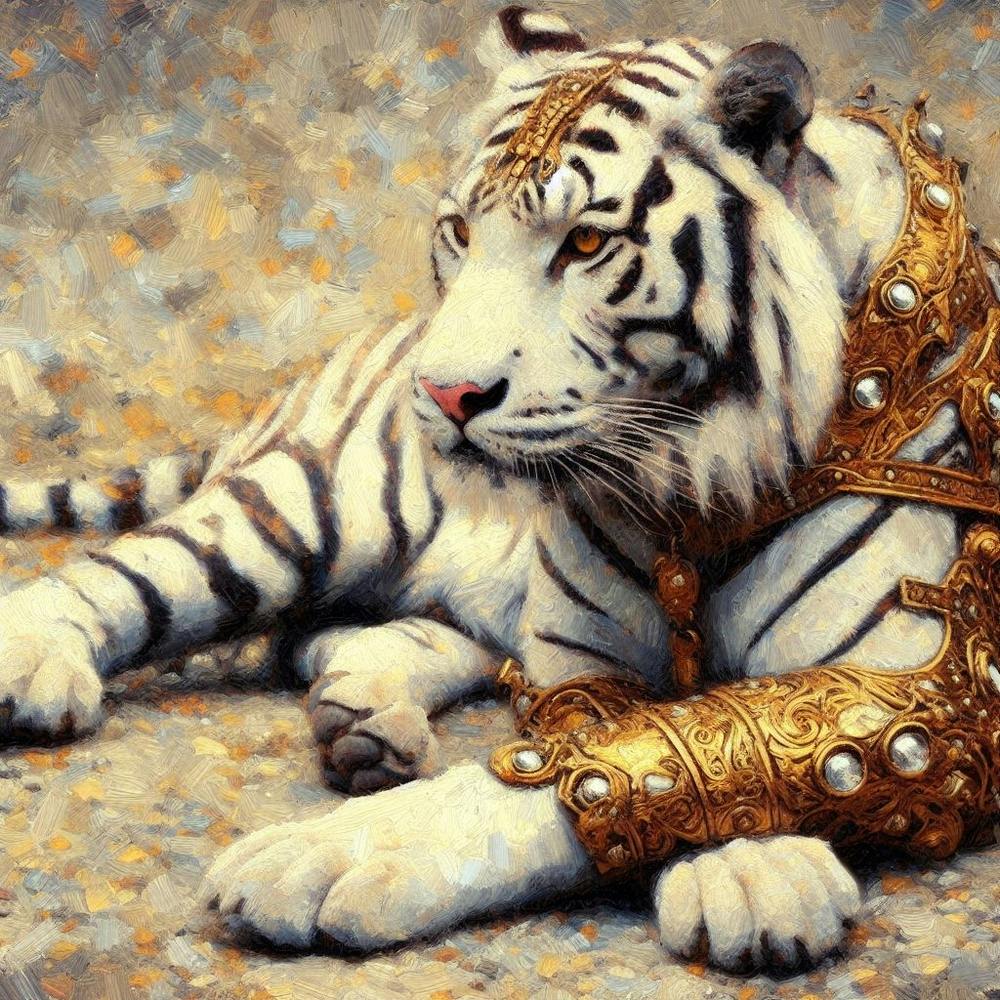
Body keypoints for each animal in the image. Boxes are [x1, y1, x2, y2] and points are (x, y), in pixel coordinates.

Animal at [0, 4, 990, 972]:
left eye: (585, 243)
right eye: (462, 232)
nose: (443, 393)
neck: (694, 463)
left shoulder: (920, 696)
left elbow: (715, 737)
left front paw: (750, 865)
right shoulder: (576, 673)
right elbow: (610, 758)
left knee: (335, 637)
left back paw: (367, 719)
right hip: (309, 507)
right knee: (123, 575)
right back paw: (37, 670)